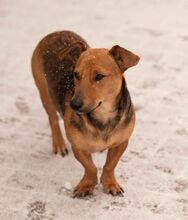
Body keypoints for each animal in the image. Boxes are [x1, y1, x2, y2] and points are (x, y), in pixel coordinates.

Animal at [31, 30, 140, 198]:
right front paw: (87, 185)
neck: (103, 117)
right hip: (44, 92)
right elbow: (90, 167)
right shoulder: (78, 146)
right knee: (53, 119)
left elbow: (110, 165)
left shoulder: (121, 142)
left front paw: (110, 183)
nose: (73, 104)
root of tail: (56, 32)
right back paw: (59, 144)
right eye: (76, 74)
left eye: (99, 76)